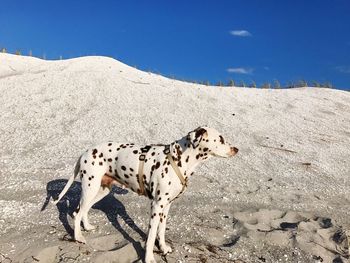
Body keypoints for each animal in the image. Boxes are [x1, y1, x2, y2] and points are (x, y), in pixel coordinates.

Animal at [53, 127, 239, 262]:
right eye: (221, 139)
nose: (236, 149)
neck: (179, 159)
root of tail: (85, 152)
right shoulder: (156, 206)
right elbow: (150, 238)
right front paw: (149, 258)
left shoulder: (166, 206)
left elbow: (161, 232)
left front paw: (163, 248)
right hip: (90, 187)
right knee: (77, 213)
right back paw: (78, 237)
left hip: (100, 190)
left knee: (83, 210)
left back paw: (87, 227)